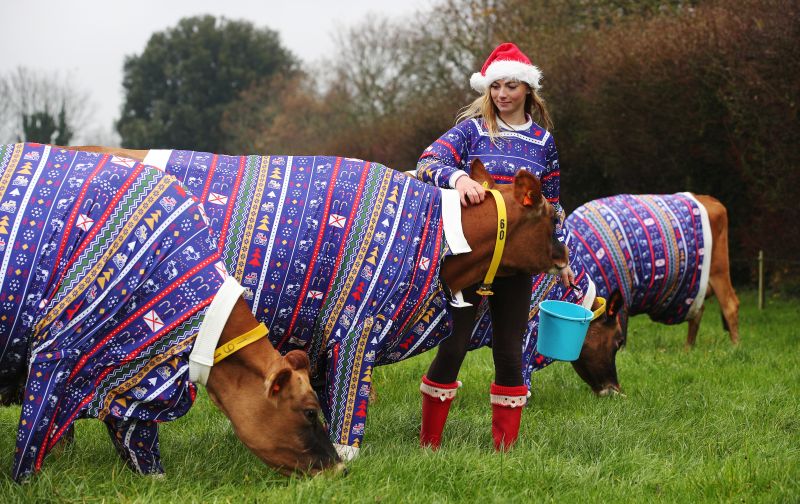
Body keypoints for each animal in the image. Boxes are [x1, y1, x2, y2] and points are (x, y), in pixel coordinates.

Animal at [0, 145, 340, 480]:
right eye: (310, 412)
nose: (340, 468)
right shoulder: (56, 350)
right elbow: (34, 434)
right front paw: (27, 481)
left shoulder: (131, 375)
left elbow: (135, 436)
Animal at [70, 146, 568, 460]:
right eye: (552, 216)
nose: (564, 259)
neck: (441, 240)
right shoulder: (357, 325)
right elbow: (349, 406)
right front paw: (345, 454)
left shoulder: (318, 340)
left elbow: (322, 400)